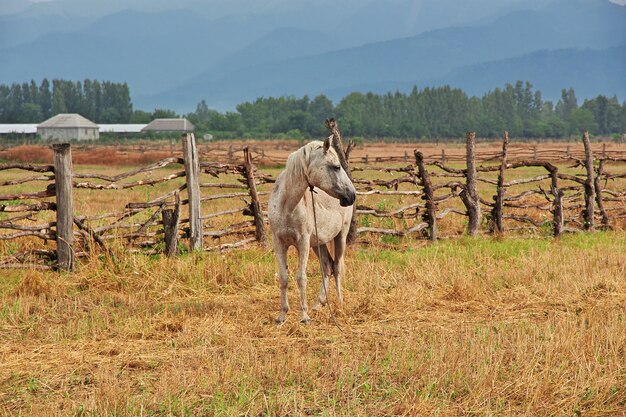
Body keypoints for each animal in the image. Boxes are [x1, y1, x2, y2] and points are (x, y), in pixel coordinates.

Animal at [266, 138, 356, 324]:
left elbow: (301, 278)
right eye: (336, 167)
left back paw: (339, 302)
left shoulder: (303, 242)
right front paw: (282, 316)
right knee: (327, 266)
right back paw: (318, 304)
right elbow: (283, 278)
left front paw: (304, 317)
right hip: (318, 243)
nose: (352, 195)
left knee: (337, 267)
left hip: (340, 237)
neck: (286, 205)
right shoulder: (279, 243)